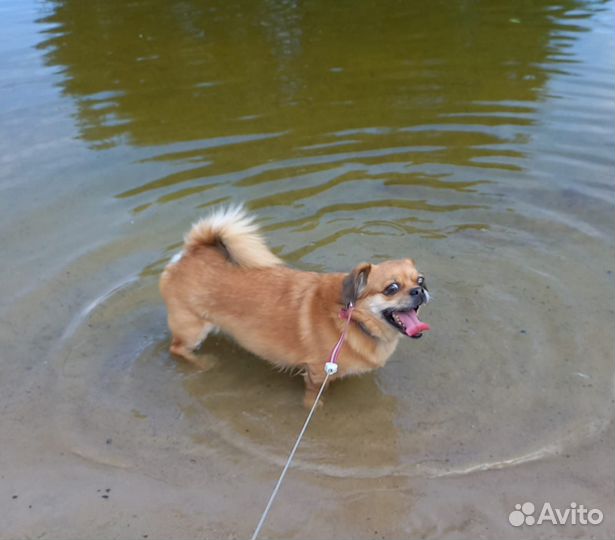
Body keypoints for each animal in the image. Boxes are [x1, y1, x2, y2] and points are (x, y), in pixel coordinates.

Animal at [159, 207, 430, 404]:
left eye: (420, 280)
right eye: (391, 288)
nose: (419, 290)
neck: (351, 319)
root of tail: (192, 252)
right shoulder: (317, 374)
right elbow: (313, 399)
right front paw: (315, 408)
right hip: (192, 328)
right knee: (177, 349)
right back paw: (204, 363)